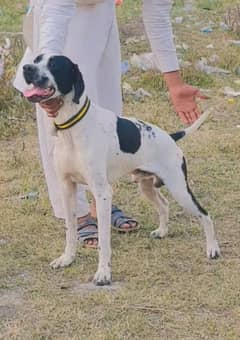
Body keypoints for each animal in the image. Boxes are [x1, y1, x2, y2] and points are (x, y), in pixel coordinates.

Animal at [22, 55, 219, 284]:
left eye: (54, 65)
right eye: (37, 59)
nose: (26, 68)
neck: (72, 128)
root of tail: (171, 137)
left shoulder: (102, 194)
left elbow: (104, 242)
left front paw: (103, 272)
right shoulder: (67, 188)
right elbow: (70, 231)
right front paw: (67, 259)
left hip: (180, 189)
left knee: (205, 214)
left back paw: (212, 249)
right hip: (147, 187)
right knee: (164, 204)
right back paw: (162, 231)